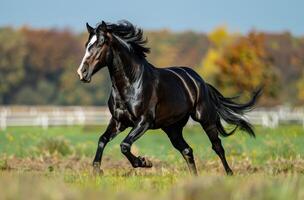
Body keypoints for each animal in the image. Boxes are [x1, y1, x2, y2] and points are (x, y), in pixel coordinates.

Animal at [76, 20, 262, 175]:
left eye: (100, 44)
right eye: (86, 44)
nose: (82, 73)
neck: (132, 83)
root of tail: (199, 80)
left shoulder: (143, 122)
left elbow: (124, 146)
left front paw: (145, 162)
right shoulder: (118, 122)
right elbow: (102, 140)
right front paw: (97, 171)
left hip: (205, 118)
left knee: (217, 146)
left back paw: (229, 174)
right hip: (172, 128)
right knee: (187, 150)